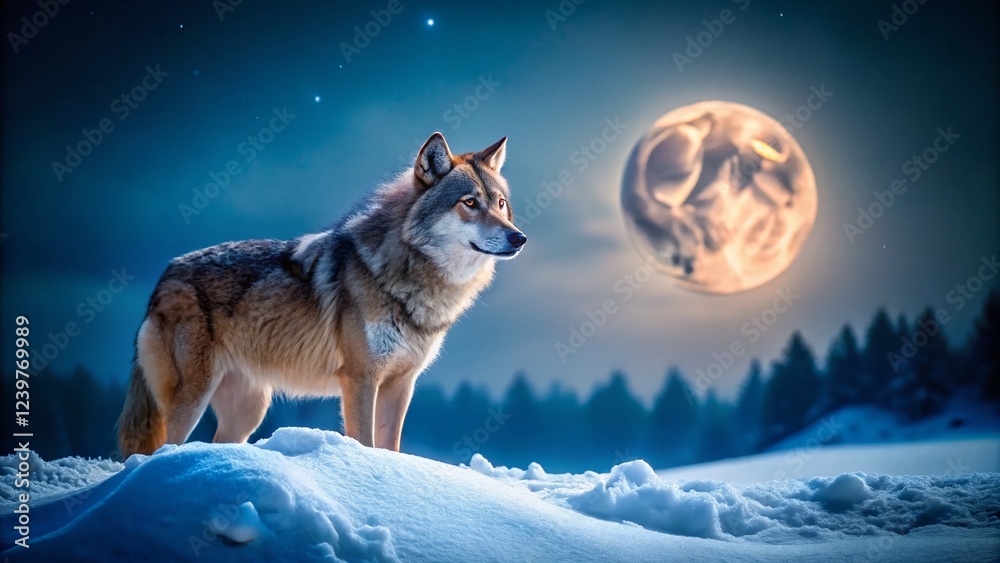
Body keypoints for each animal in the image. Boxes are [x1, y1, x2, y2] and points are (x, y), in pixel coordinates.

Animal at [117, 132, 526, 457]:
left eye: (500, 204)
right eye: (469, 202)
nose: (518, 237)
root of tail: (167, 272)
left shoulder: (401, 384)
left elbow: (390, 447)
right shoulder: (360, 379)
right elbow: (365, 442)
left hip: (249, 411)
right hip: (192, 399)